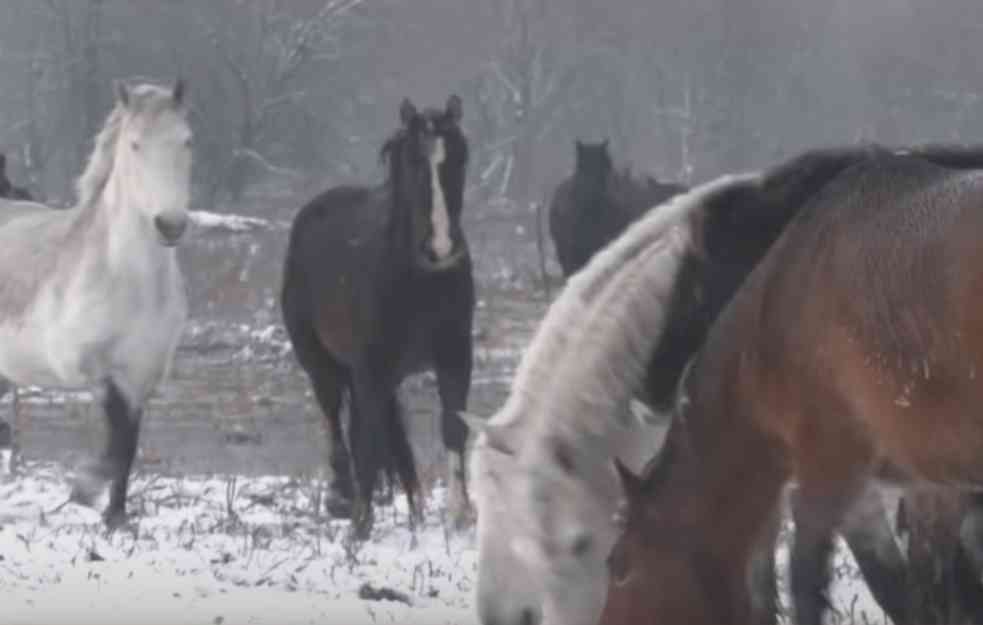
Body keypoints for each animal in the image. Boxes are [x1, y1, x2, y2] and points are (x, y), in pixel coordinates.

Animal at [0, 79, 193, 528]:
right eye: (135, 144)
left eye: (186, 141)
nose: (170, 225)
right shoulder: (98, 374)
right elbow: (115, 445)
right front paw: (85, 489)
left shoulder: (140, 378)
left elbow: (127, 448)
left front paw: (116, 517)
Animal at [280, 95, 476, 540]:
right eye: (415, 163)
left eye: (460, 158)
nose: (441, 248)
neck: (418, 280)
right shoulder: (370, 368)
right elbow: (366, 438)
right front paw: (360, 523)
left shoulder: (455, 357)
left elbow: (453, 426)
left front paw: (461, 514)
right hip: (321, 363)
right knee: (337, 422)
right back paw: (342, 497)